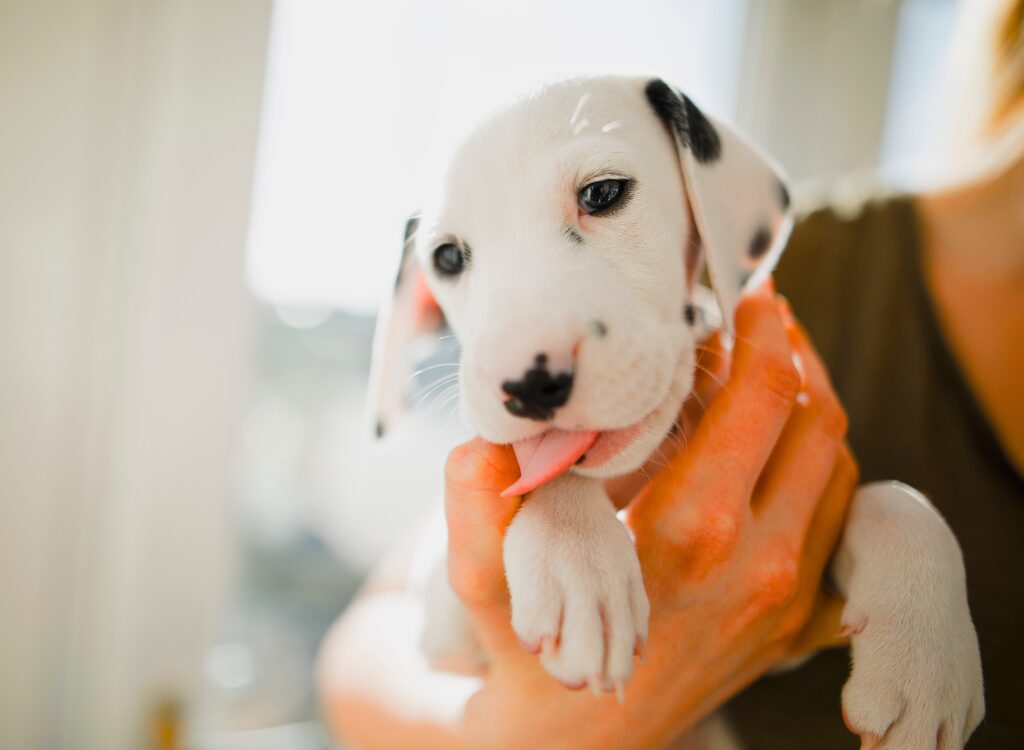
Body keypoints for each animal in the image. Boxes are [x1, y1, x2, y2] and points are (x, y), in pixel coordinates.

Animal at [368, 77, 983, 750]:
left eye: (603, 193)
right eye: (448, 258)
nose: (528, 385)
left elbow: (898, 497)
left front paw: (926, 662)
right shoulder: (444, 630)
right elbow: (546, 477)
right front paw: (576, 558)